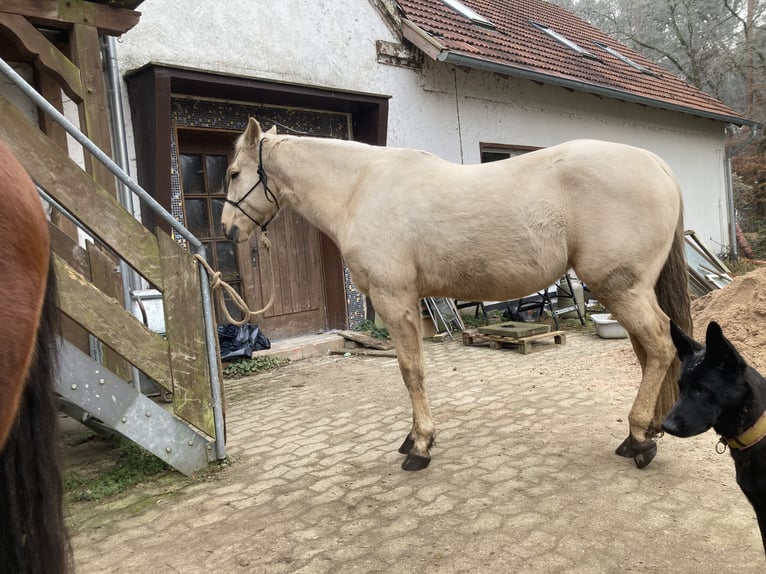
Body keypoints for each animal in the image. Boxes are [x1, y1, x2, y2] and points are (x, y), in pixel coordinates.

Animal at [222, 117, 696, 472]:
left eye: (232, 173)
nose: (228, 230)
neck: (360, 187)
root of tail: (656, 164)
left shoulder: (396, 300)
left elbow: (411, 372)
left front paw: (420, 446)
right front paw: (414, 437)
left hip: (620, 287)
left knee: (658, 345)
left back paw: (639, 438)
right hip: (628, 289)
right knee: (648, 351)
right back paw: (641, 433)